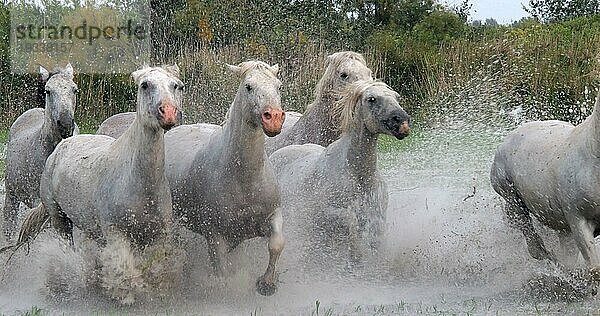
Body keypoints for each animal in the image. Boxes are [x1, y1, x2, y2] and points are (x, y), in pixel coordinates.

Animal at [14, 64, 183, 304]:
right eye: (145, 85)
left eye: (176, 86)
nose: (168, 112)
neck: (138, 181)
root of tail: (63, 144)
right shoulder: (115, 233)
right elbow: (123, 269)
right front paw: (126, 296)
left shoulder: (158, 234)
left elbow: (156, 267)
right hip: (58, 217)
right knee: (67, 246)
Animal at [164, 59, 286, 296]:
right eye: (248, 87)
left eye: (278, 86)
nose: (274, 118)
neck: (244, 179)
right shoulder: (215, 234)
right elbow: (222, 271)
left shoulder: (272, 214)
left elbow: (277, 243)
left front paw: (266, 284)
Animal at [270, 79, 410, 264]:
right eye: (372, 99)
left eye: (397, 97)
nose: (401, 121)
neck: (359, 175)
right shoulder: (327, 214)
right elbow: (351, 222)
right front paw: (355, 256)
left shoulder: (377, 219)